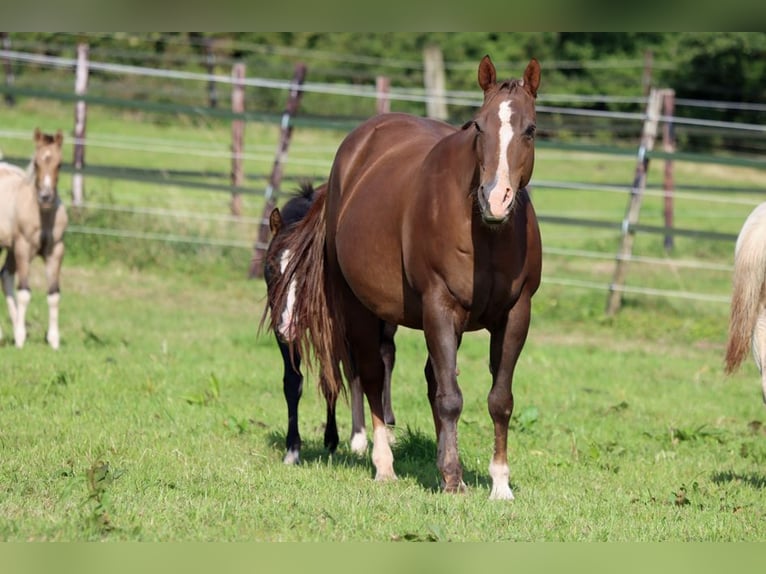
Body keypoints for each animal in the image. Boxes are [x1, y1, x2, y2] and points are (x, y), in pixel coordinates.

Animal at [0, 128, 68, 349]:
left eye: (60, 164)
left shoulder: (56, 251)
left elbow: (54, 294)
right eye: (36, 163)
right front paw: (20, 338)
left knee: (5, 276)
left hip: (9, 248)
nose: (46, 197)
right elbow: (24, 292)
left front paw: (53, 340)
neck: (43, 215)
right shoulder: (23, 248)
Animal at [262, 182, 397, 464]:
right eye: (270, 267)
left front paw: (331, 439)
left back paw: (385, 429)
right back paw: (358, 438)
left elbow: (330, 380)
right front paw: (293, 450)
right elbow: (293, 382)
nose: (287, 324)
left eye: (308, 270)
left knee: (386, 356)